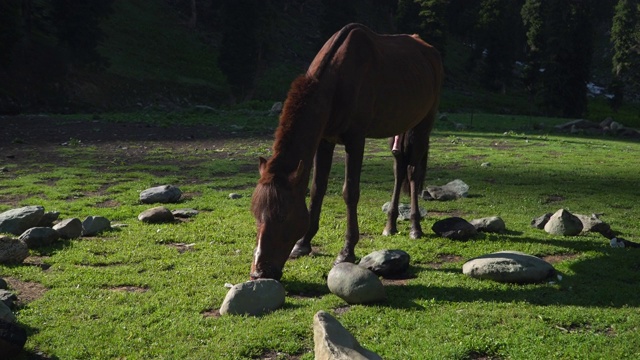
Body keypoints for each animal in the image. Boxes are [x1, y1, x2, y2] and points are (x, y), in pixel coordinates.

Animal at [249, 23, 440, 282]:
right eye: (256, 214)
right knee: (399, 167)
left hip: (423, 124)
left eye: (282, 217)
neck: (335, 83)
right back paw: (390, 225)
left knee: (412, 172)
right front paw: (303, 244)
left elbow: (350, 192)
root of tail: (430, 51)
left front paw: (347, 251)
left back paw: (414, 227)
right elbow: (317, 189)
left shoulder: (355, 139)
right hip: (400, 125)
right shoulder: (323, 140)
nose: (259, 272)